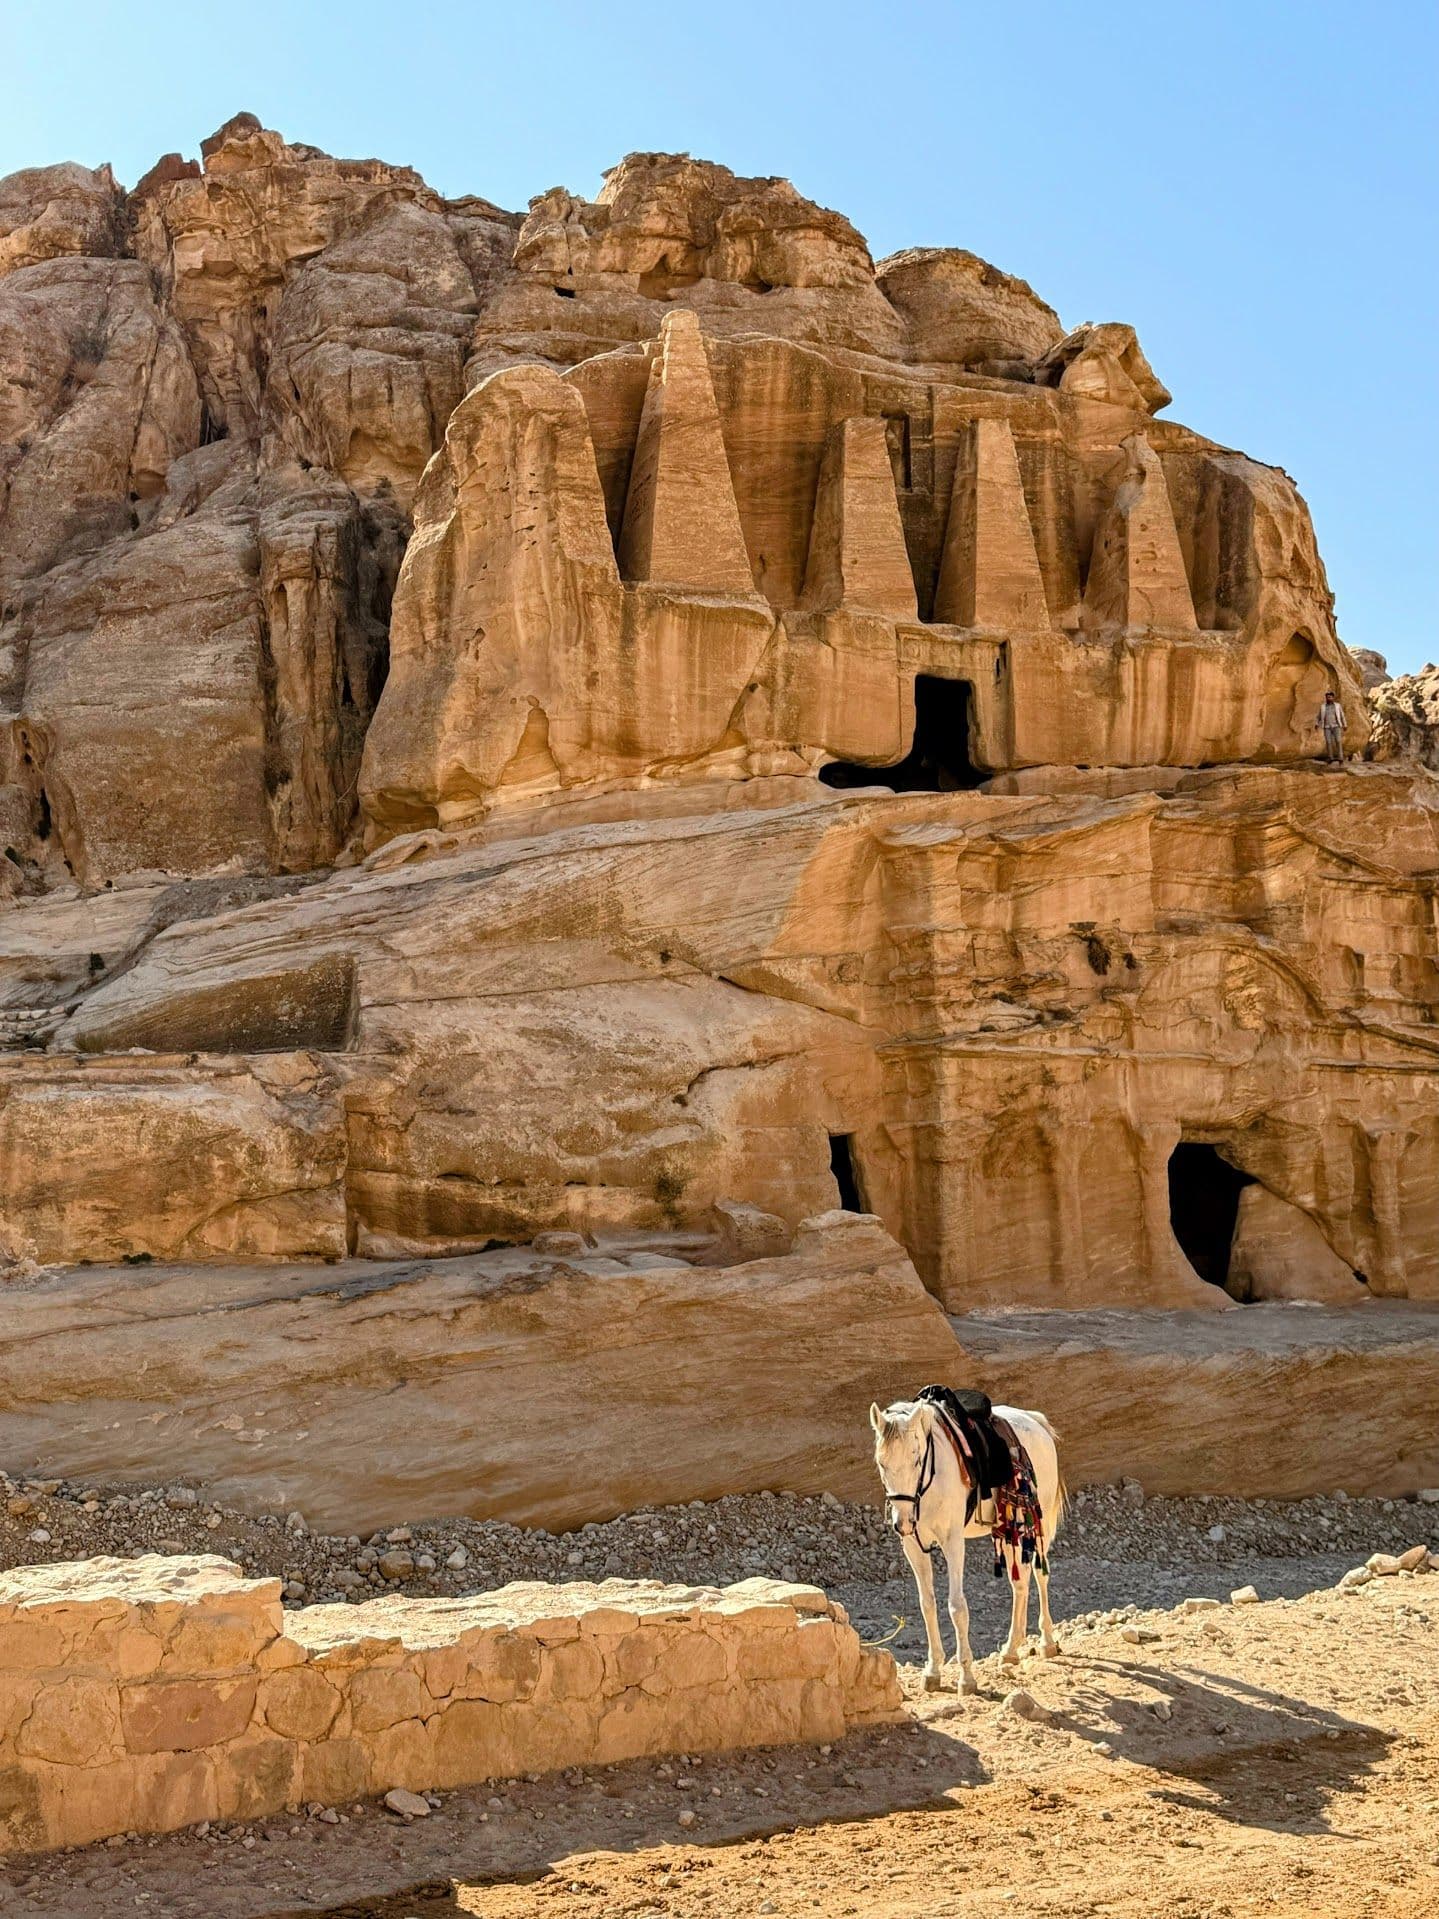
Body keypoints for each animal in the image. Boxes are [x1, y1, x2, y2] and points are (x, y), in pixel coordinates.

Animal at [869, 1396, 1065, 1694]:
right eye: (881, 1463)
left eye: (916, 1458)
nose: (901, 1522)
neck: (929, 1480)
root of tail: (1035, 1421)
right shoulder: (913, 1546)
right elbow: (927, 1604)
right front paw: (933, 1670)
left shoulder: (953, 1542)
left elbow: (957, 1607)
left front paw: (967, 1676)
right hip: (1009, 1529)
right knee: (1020, 1582)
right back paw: (1011, 1649)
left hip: (1038, 1523)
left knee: (1041, 1574)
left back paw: (1047, 1642)